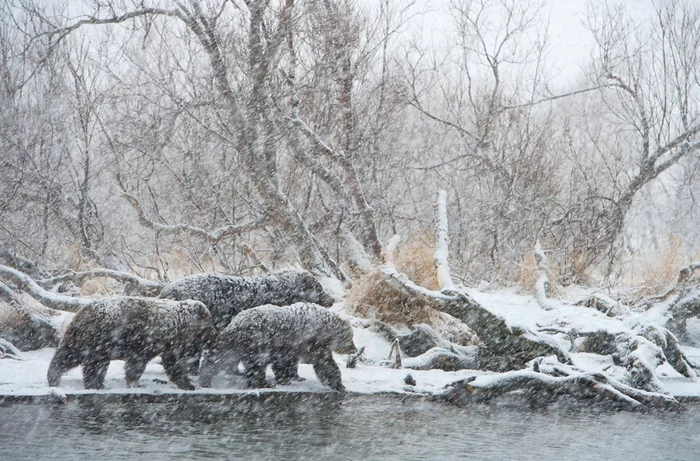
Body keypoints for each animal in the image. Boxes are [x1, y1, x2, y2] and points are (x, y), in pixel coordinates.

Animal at [47, 296, 215, 390]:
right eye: (209, 325)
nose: (213, 336)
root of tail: (80, 312)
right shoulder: (147, 340)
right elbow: (137, 364)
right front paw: (134, 383)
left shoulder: (167, 345)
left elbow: (172, 364)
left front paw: (187, 384)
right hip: (99, 338)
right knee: (83, 361)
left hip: (92, 343)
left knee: (79, 359)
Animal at [201, 302, 356, 392]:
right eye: (350, 338)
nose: (354, 349)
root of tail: (236, 323)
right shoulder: (307, 343)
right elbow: (325, 364)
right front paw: (339, 385)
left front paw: (293, 377)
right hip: (258, 342)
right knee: (256, 365)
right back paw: (263, 383)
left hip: (236, 343)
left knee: (220, 356)